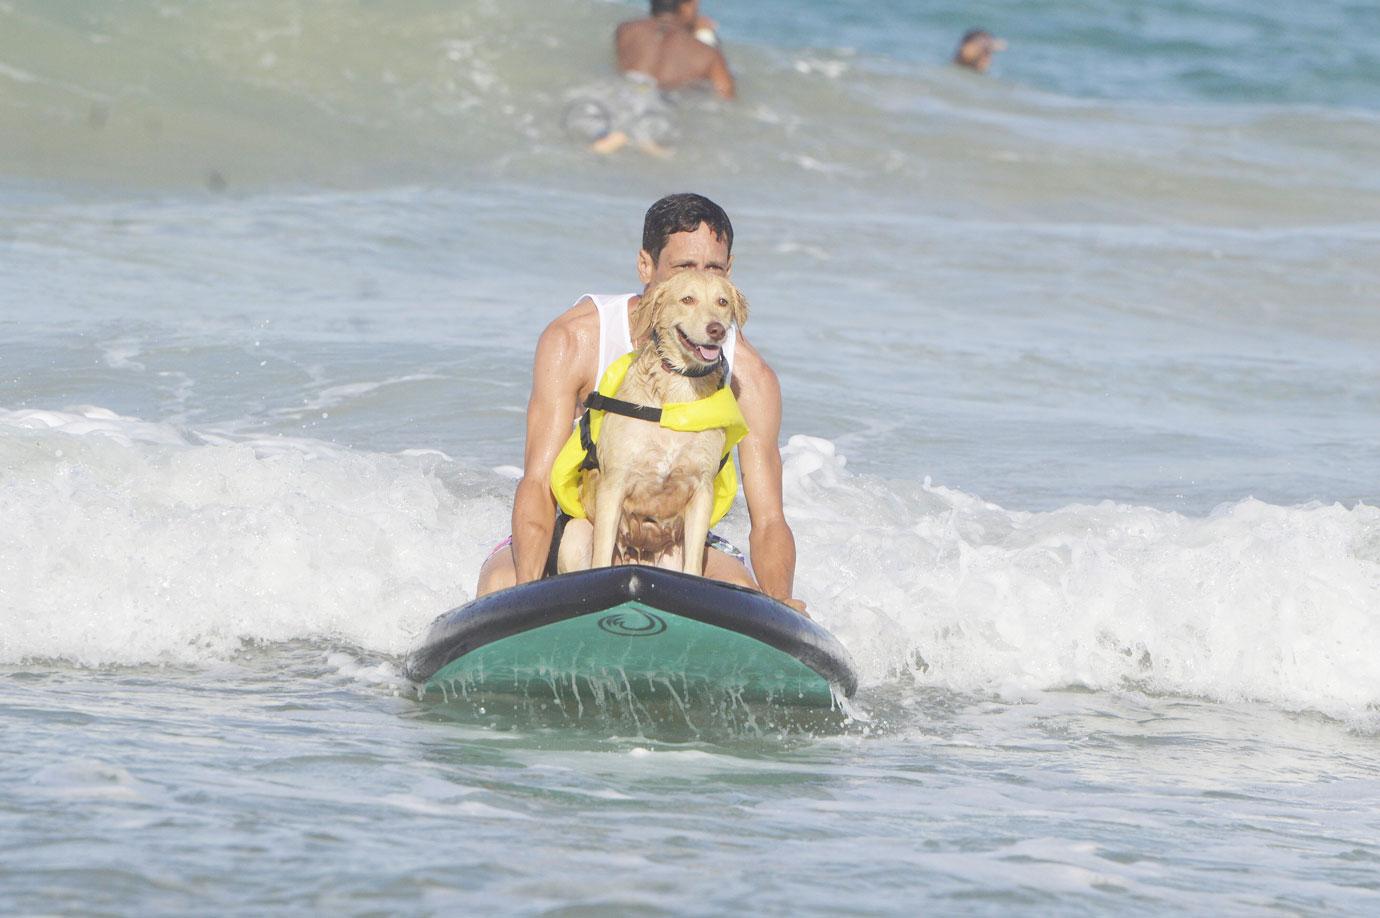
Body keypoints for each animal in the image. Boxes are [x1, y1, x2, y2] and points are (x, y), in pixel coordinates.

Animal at [557, 269, 750, 577]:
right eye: (687, 299)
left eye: (722, 302)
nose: (716, 330)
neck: (676, 397)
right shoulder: (614, 485)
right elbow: (601, 556)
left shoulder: (702, 490)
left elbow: (693, 565)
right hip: (577, 533)